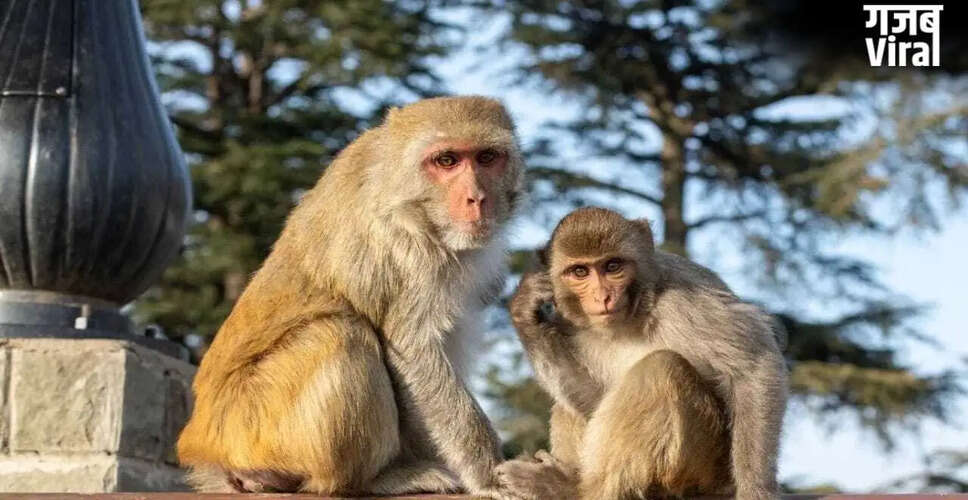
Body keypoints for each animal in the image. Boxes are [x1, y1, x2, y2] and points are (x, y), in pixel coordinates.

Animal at [175, 96, 528, 498]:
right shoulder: (407, 247)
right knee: (340, 334)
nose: (477, 198)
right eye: (447, 160)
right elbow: (415, 352)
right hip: (257, 427)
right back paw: (376, 478)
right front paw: (491, 476)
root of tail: (203, 448)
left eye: (487, 157)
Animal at [496, 207, 788, 500]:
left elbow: (754, 365)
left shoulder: (685, 303)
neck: (633, 315)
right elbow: (594, 400)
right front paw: (525, 313)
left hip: (706, 469)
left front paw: (755, 489)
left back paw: (566, 488)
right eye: (580, 271)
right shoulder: (571, 326)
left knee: (660, 368)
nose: (603, 297)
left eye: (613, 266)